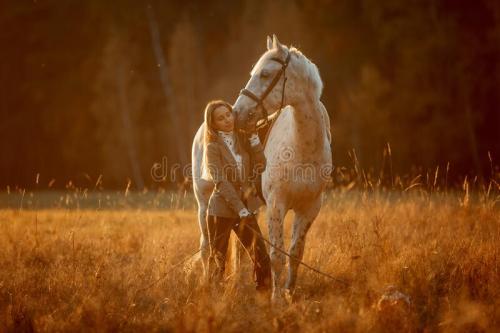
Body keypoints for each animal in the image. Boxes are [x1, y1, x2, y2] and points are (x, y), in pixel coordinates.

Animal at [232, 34, 334, 300]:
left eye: (266, 74)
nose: (236, 113)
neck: (302, 148)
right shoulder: (277, 204)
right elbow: (277, 256)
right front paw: (276, 299)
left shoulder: (309, 208)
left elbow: (296, 253)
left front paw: (289, 293)